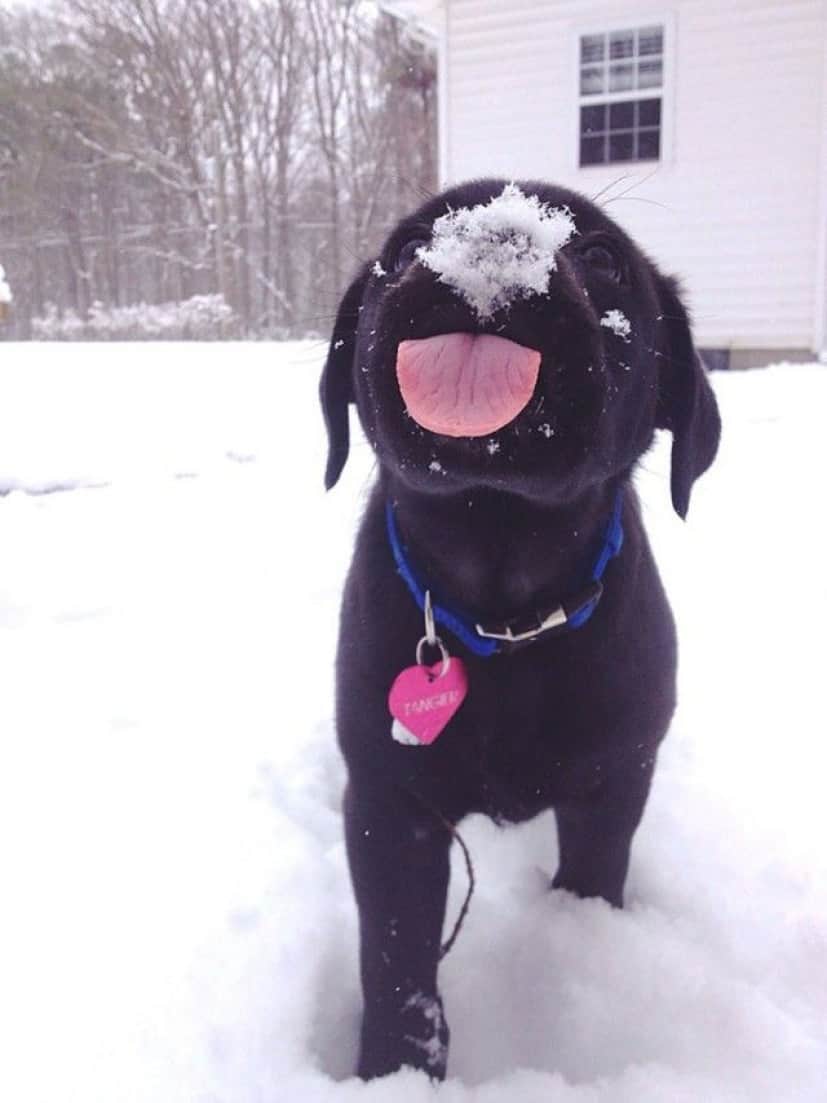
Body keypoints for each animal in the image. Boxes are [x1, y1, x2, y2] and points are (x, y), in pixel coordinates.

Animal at [319, 176, 723, 1080]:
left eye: (602, 256)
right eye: (405, 248)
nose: (494, 231)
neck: (502, 616)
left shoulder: (614, 782)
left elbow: (593, 875)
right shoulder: (390, 805)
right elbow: (395, 959)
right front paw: (394, 1071)